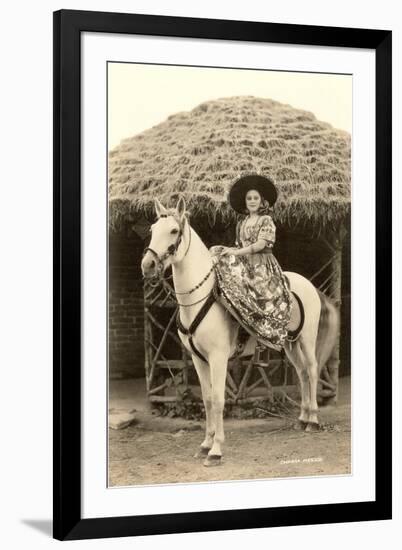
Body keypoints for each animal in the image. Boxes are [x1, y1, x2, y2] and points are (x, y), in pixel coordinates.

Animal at [141, 198, 340, 466]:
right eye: (153, 229)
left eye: (173, 230)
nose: (148, 265)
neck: (199, 298)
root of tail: (310, 285)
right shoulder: (197, 359)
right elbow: (206, 399)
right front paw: (205, 445)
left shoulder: (218, 358)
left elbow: (218, 400)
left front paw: (215, 450)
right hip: (290, 343)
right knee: (301, 374)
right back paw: (302, 419)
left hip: (307, 340)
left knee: (312, 369)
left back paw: (314, 421)